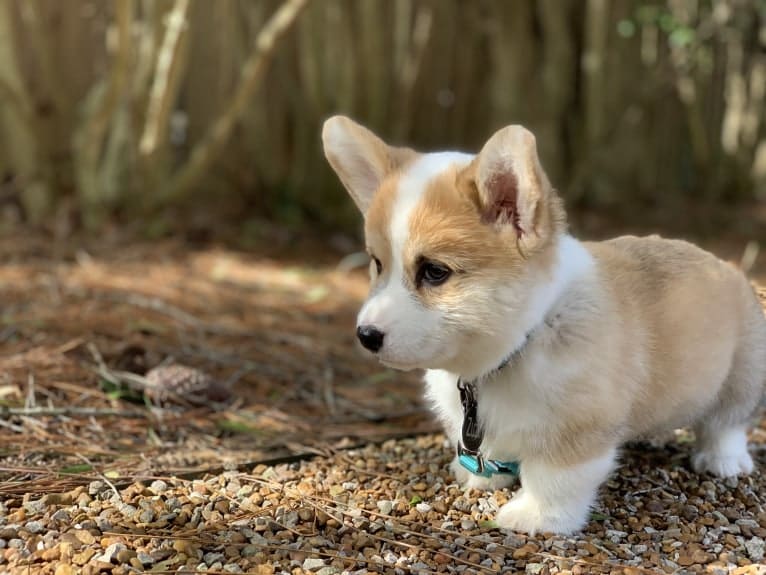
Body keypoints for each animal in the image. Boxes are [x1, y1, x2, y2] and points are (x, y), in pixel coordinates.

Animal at [322, 116, 766, 536]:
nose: (366, 335)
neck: (526, 337)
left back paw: (723, 459)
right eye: (377, 264)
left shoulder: (576, 429)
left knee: (727, 423)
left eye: (434, 272)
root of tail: (725, 266)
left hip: (741, 376)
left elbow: (554, 479)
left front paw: (535, 516)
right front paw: (482, 477)